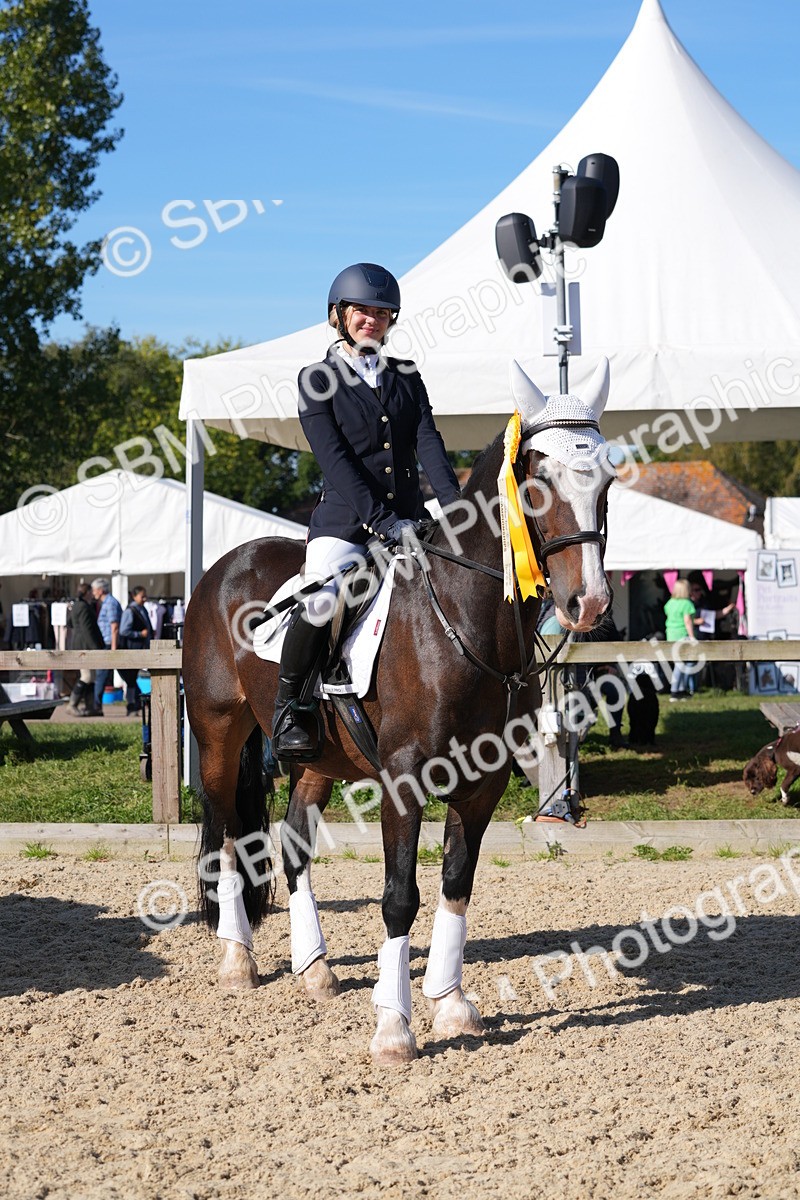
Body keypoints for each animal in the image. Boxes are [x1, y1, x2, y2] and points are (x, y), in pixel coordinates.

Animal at [182, 357, 615, 1065]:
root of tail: (226, 566)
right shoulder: (404, 779)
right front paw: (394, 1029)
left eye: (606, 479)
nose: (590, 604)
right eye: (538, 480)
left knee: (291, 844)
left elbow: (456, 884)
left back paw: (316, 969)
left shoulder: (484, 782)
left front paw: (451, 1005)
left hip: (318, 758)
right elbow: (398, 897)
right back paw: (238, 960)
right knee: (225, 834)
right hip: (219, 736)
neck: (463, 617)